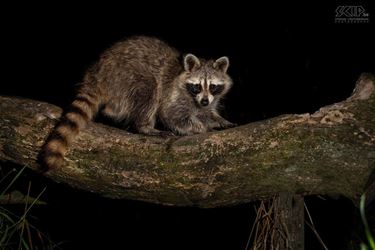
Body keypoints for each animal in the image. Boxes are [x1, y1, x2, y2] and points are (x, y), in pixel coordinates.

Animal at [41, 35, 235, 170]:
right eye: (197, 86)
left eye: (213, 86)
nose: (204, 101)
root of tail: (97, 74)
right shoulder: (174, 94)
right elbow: (172, 115)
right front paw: (202, 129)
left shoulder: (207, 102)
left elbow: (207, 113)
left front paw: (219, 120)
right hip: (125, 76)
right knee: (148, 89)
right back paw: (145, 127)